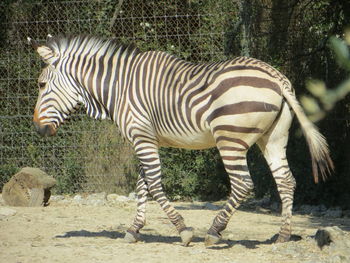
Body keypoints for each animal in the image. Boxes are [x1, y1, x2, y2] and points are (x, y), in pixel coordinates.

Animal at [28, 34, 334, 248]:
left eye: (42, 85)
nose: (38, 129)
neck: (119, 87)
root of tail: (276, 76)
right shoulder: (148, 138)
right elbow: (142, 185)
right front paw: (134, 230)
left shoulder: (141, 136)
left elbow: (152, 184)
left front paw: (184, 231)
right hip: (273, 138)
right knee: (286, 181)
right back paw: (282, 236)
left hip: (230, 139)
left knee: (243, 184)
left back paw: (213, 232)